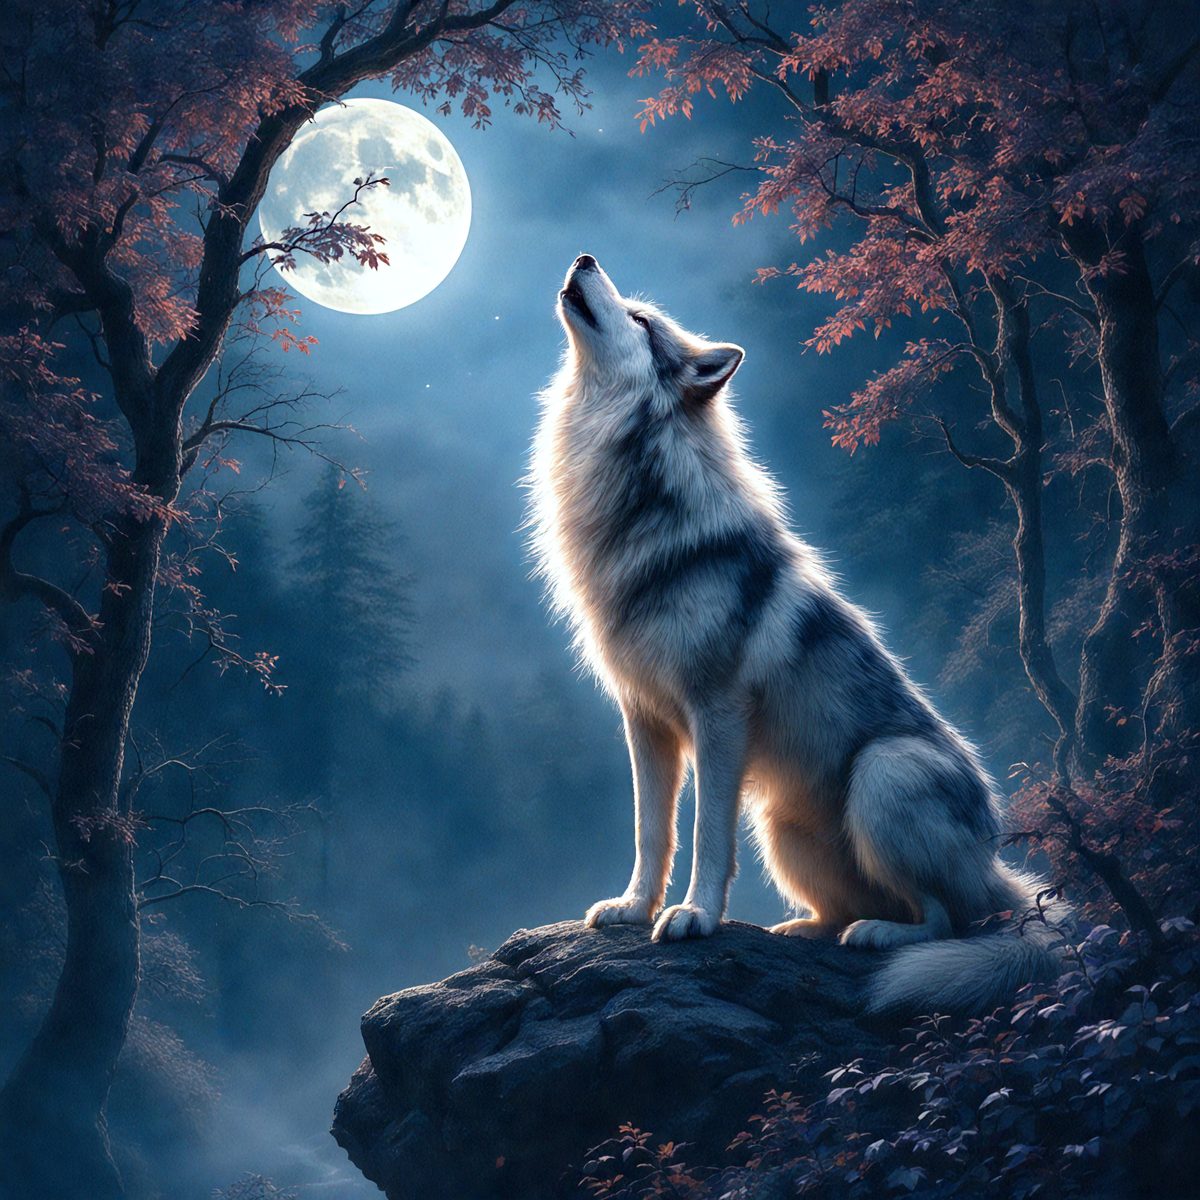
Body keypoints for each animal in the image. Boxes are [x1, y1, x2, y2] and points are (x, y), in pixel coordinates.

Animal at [529, 254, 1065, 1015]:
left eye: (640, 319)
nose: (584, 259)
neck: (642, 508)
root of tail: (1001, 877)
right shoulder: (643, 719)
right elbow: (650, 830)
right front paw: (634, 909)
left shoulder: (717, 715)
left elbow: (705, 835)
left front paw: (694, 916)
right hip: (781, 827)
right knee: (861, 909)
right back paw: (803, 929)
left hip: (883, 771)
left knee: (942, 920)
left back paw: (879, 937)